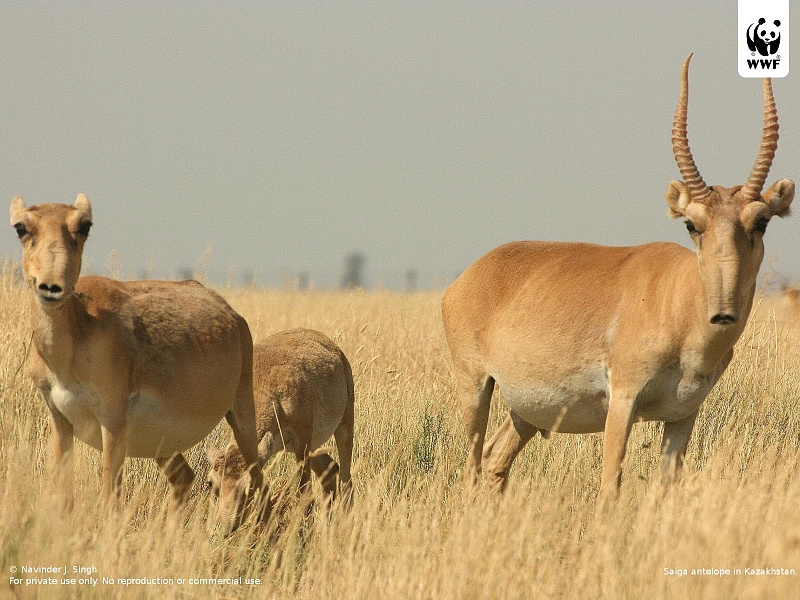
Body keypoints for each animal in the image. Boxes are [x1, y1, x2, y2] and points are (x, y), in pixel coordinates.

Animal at [8, 196, 262, 510]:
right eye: (21, 227)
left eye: (84, 225)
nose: (51, 287)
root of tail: (232, 315)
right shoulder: (60, 421)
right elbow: (64, 498)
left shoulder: (112, 423)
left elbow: (109, 498)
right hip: (162, 444)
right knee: (184, 478)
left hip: (243, 418)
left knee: (260, 483)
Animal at [206, 330, 354, 536]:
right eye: (210, 483)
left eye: (249, 485)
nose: (228, 528)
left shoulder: (302, 442)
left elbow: (304, 494)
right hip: (311, 446)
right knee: (330, 470)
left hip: (343, 427)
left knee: (346, 479)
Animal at [440, 55, 796, 496]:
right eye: (692, 224)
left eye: (761, 221)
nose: (723, 312)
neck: (677, 299)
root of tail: (469, 277)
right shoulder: (623, 402)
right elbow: (611, 485)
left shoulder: (683, 415)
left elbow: (666, 486)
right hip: (475, 387)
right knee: (473, 462)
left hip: (526, 413)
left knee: (494, 459)